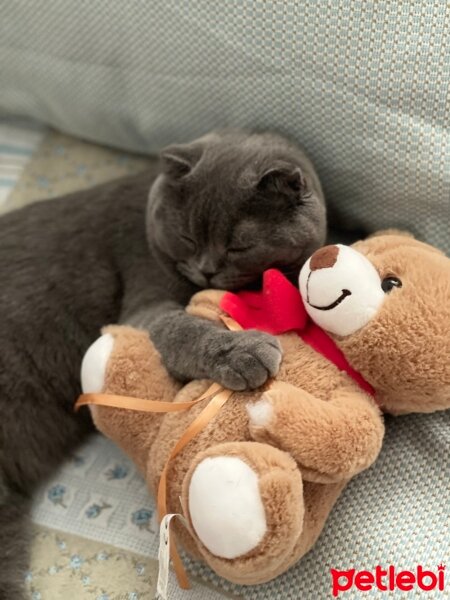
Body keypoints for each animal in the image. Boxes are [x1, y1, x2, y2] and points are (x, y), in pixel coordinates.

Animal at [0, 130, 326, 596]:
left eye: (239, 245)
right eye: (187, 237)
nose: (206, 271)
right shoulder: (145, 303)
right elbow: (184, 328)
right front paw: (242, 351)